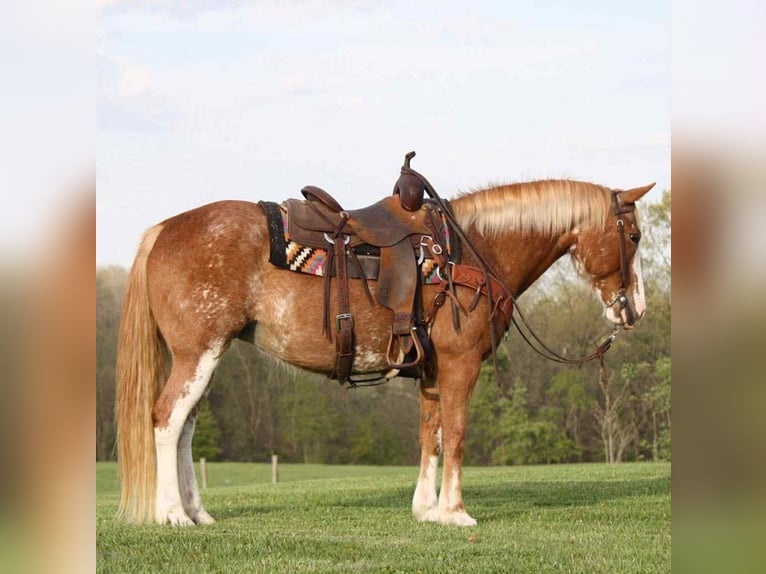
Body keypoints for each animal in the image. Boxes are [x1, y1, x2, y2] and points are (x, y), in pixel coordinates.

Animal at [115, 177, 653, 527]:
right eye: (633, 235)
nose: (636, 309)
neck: (471, 250)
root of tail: (163, 230)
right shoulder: (460, 365)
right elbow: (457, 435)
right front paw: (456, 512)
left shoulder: (432, 373)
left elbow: (431, 437)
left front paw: (426, 510)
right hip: (198, 353)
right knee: (167, 420)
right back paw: (172, 515)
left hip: (208, 356)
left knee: (185, 428)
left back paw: (198, 512)